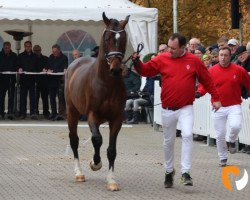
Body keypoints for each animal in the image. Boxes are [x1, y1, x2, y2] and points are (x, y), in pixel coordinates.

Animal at [64, 12, 130, 191]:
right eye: (107, 38)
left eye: (123, 39)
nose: (116, 69)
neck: (106, 83)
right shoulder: (92, 115)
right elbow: (97, 139)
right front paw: (95, 163)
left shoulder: (117, 119)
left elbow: (111, 149)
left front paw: (111, 180)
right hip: (72, 112)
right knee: (74, 140)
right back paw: (79, 173)